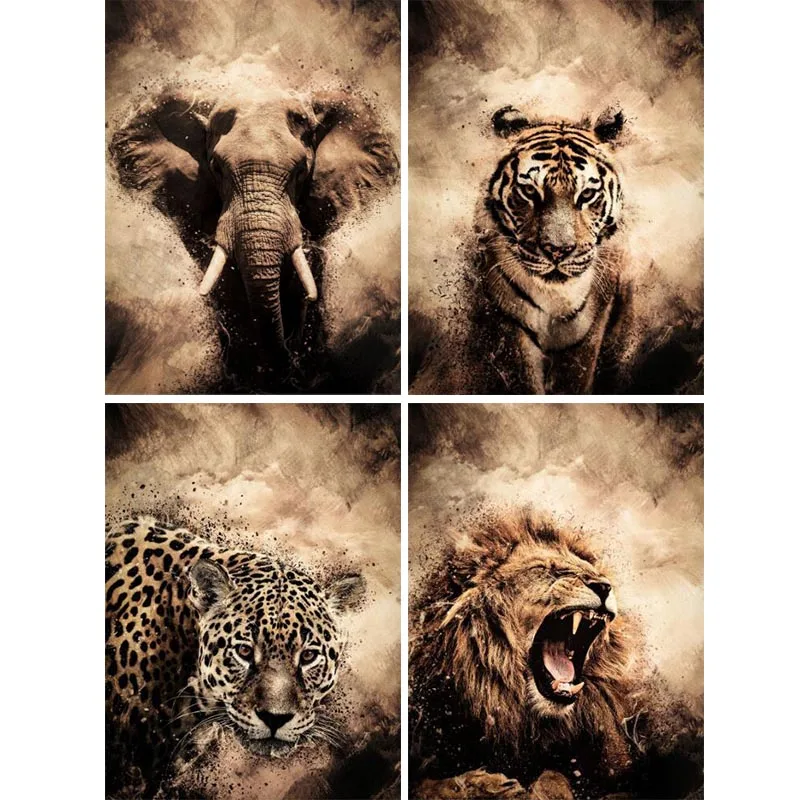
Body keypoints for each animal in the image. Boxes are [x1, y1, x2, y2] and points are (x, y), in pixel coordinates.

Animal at [409, 509, 703, 800]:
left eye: (594, 571)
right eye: (544, 569)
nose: (604, 586)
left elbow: (556, 778)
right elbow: (432, 785)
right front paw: (490, 786)